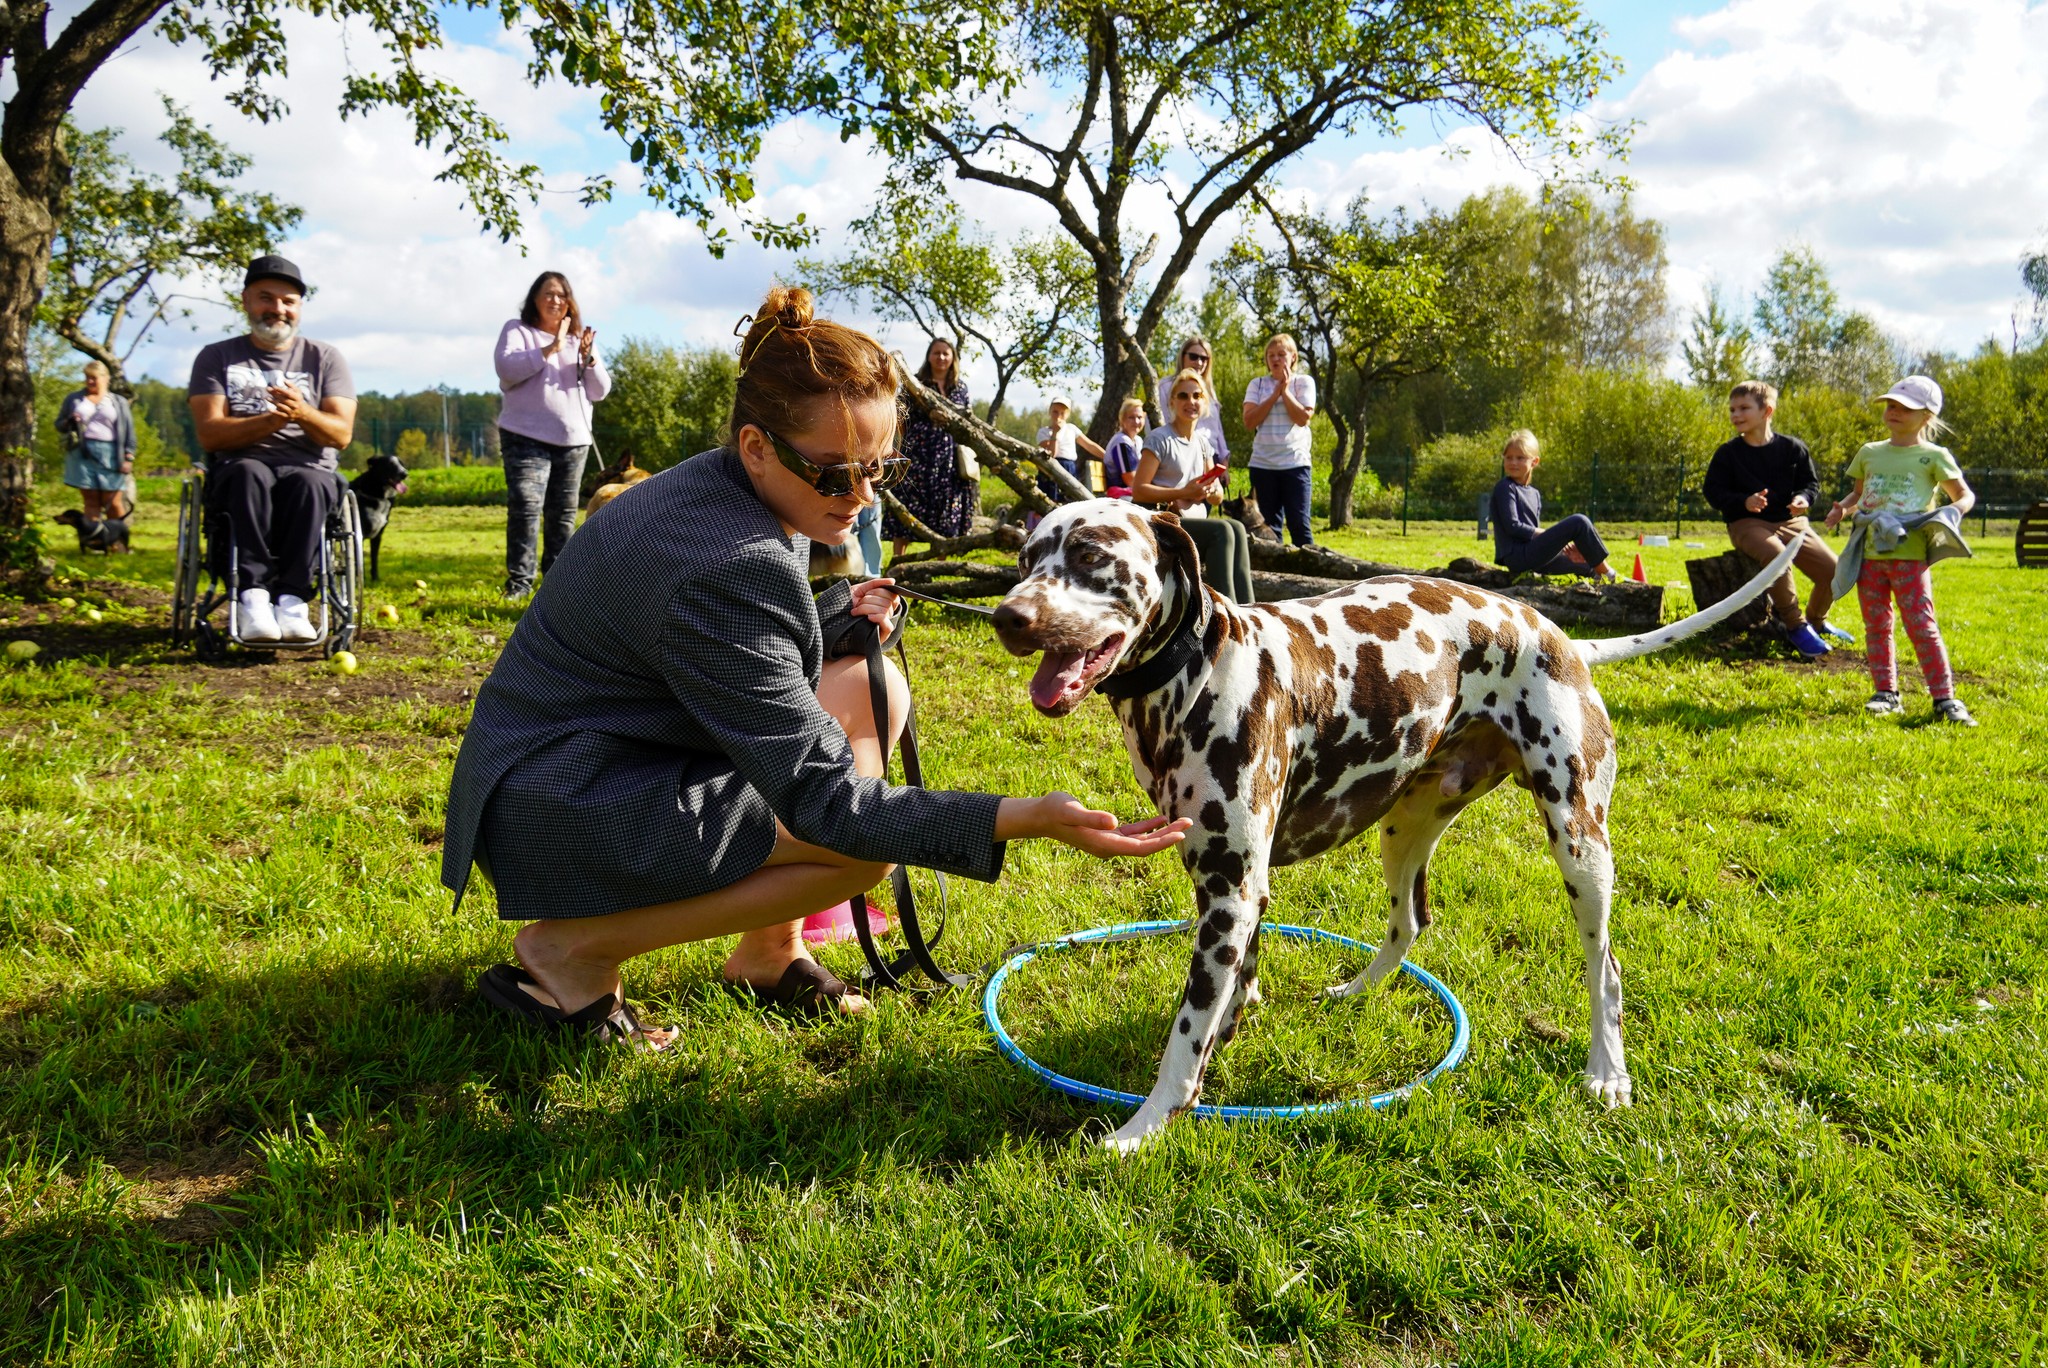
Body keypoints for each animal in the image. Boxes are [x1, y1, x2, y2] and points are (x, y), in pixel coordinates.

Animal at [995, 501, 1810, 1155]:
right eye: (1027, 557)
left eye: (1091, 555)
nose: (1008, 615)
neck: (1201, 672)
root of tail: (1556, 632)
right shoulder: (1234, 892)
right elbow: (1234, 991)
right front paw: (1231, 1031)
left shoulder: (1230, 895)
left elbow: (1184, 1036)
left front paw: (1145, 1126)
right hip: (1403, 831)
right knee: (1410, 922)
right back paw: (1355, 989)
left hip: (1581, 848)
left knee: (1603, 967)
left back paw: (1606, 1072)